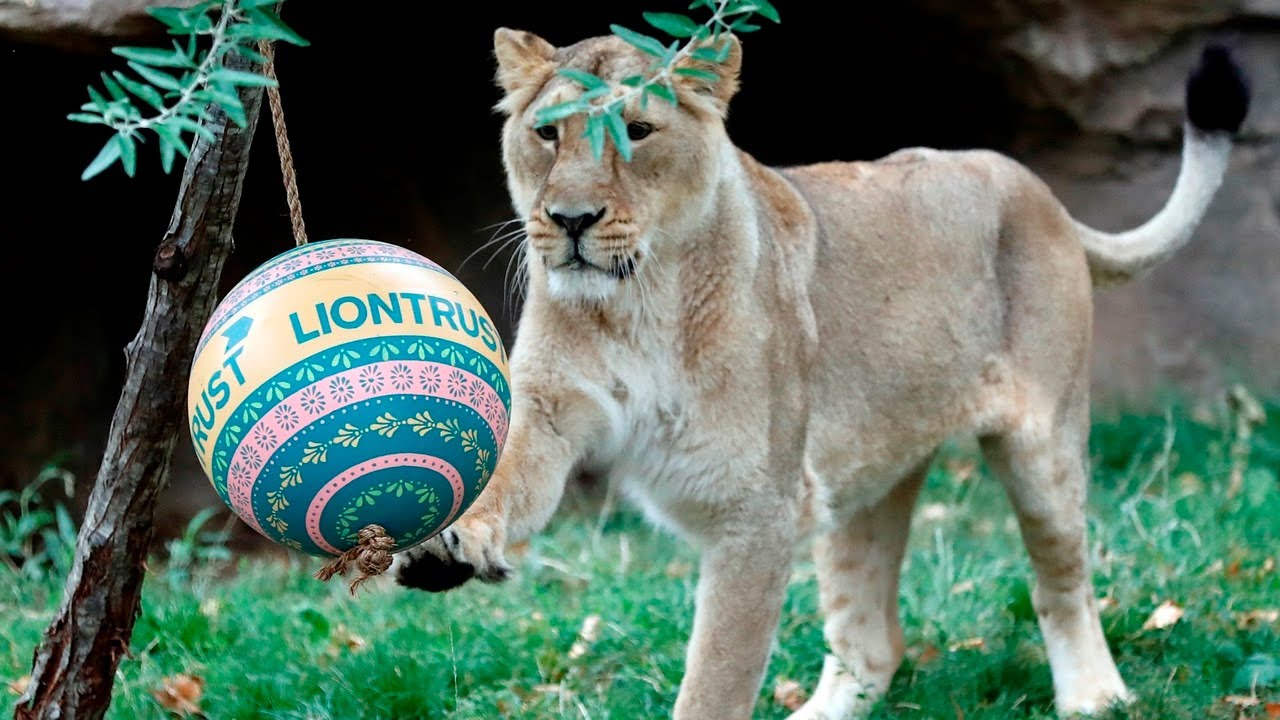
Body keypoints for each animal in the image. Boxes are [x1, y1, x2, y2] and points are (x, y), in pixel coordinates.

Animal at [393, 28, 1251, 719]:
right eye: (547, 134)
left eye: (637, 131)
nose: (570, 220)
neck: (637, 302)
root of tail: (1034, 185)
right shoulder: (550, 408)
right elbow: (504, 480)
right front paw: (449, 543)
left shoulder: (758, 512)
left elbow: (716, 682)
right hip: (857, 483)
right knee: (873, 643)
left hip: (1041, 446)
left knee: (1061, 579)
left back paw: (1093, 698)